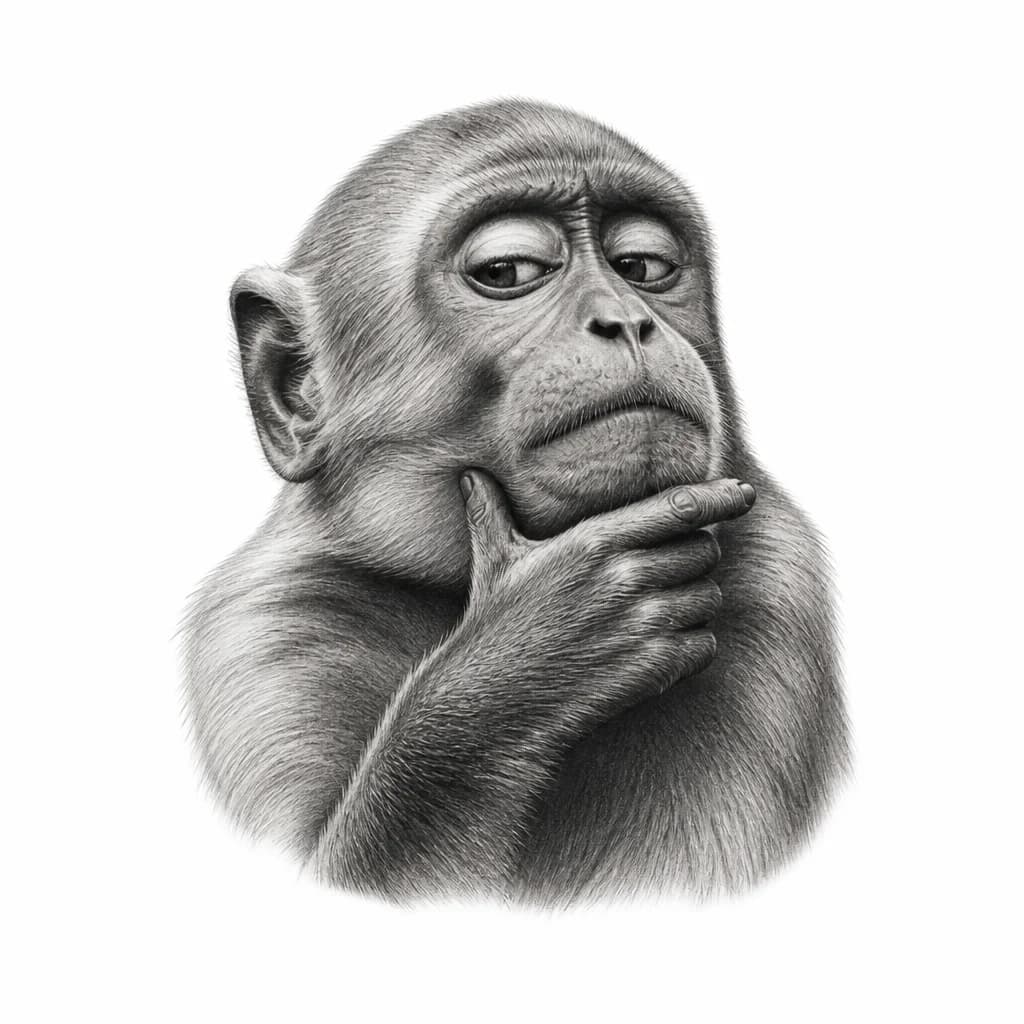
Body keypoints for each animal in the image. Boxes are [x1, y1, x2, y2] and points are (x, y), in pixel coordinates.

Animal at [183, 100, 850, 906]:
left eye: (643, 266)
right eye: (508, 271)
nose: (627, 321)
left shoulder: (779, 590)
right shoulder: (268, 632)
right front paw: (528, 659)